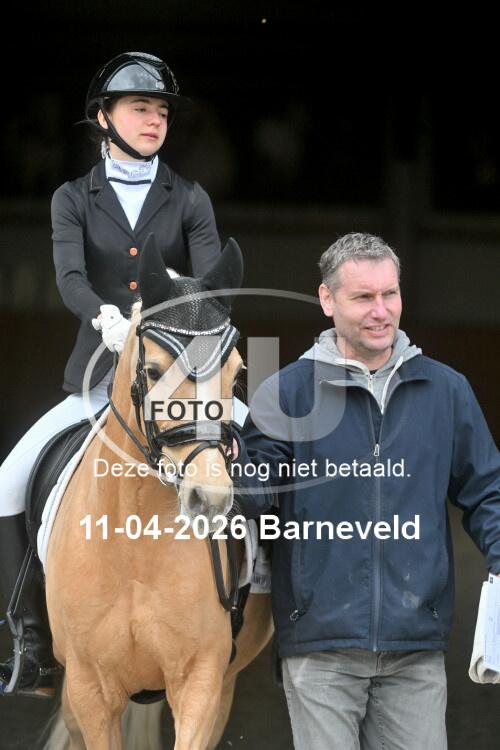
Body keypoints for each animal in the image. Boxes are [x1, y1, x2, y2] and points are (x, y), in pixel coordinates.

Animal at [44, 238, 273, 749]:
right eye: (152, 370)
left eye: (236, 370)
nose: (210, 499)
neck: (134, 541)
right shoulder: (88, 688)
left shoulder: (200, 682)